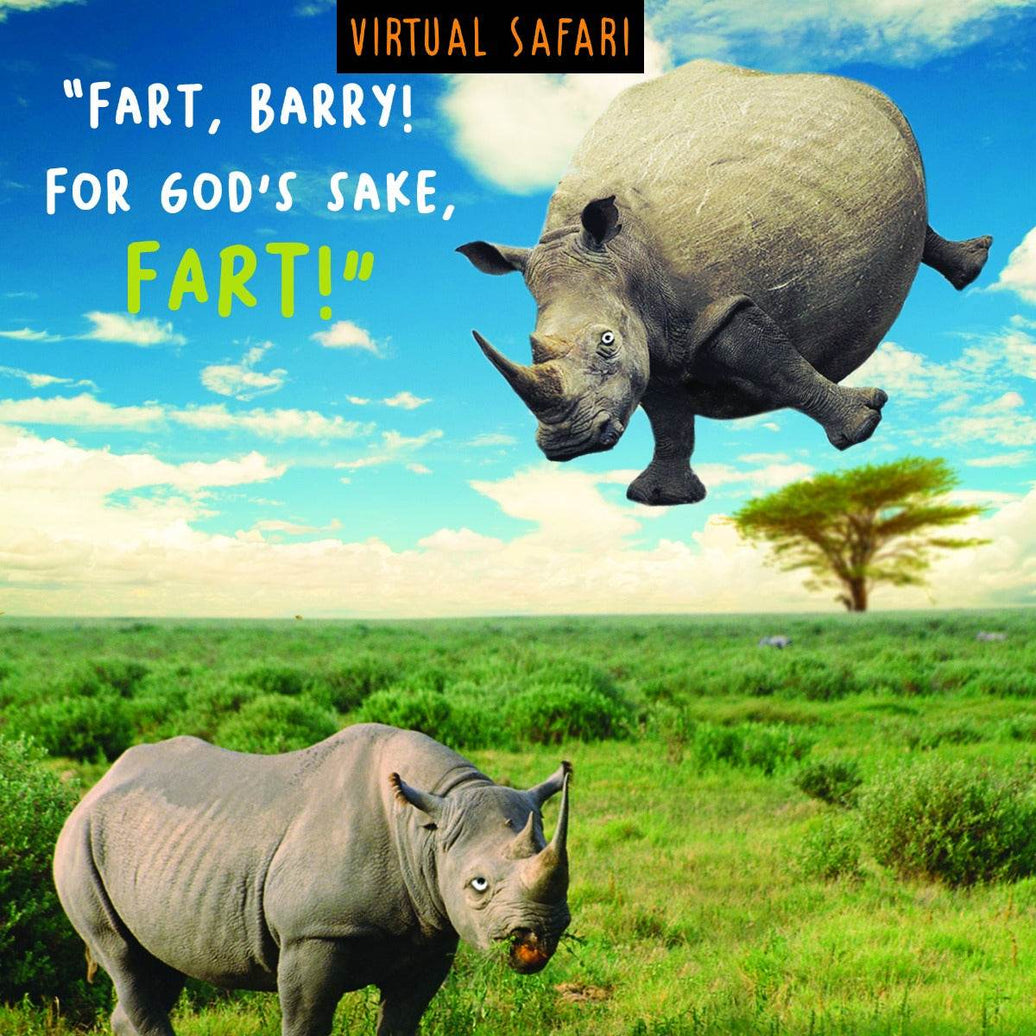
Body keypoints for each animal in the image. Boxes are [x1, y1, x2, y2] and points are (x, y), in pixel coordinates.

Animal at [53, 724, 572, 1036]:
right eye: (478, 885)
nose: (539, 931)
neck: (426, 828)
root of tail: (96, 785)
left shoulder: (431, 935)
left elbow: (402, 1019)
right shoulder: (313, 934)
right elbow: (307, 1019)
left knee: (157, 967)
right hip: (77, 847)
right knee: (123, 957)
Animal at [458, 60, 992, 505]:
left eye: (607, 342)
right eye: (532, 346)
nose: (567, 444)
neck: (620, 261)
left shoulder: (712, 308)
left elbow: (775, 363)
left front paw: (863, 425)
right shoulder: (652, 339)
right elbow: (667, 414)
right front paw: (661, 499)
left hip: (890, 118)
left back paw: (973, 266)